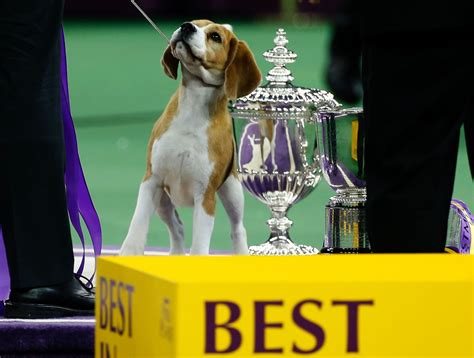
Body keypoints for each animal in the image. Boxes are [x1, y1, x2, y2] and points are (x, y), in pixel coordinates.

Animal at [118, 20, 260, 255]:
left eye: (215, 36)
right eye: (195, 23)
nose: (186, 27)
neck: (193, 107)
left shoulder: (205, 196)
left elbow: (200, 246)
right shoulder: (152, 181)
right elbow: (136, 228)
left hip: (232, 192)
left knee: (238, 228)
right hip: (163, 202)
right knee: (177, 227)